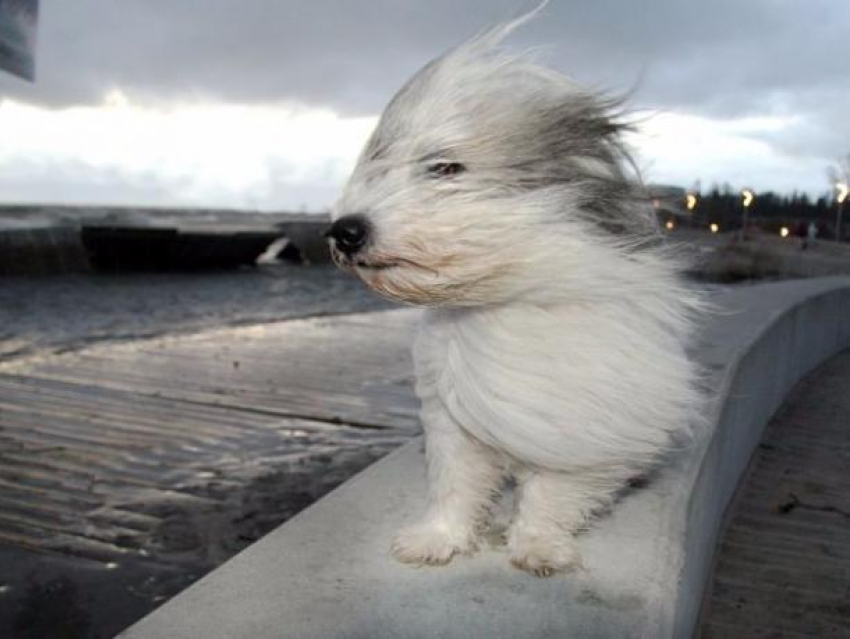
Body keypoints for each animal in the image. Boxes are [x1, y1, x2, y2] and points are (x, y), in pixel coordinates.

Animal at [324, 8, 696, 580]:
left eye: (445, 167)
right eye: (380, 163)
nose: (344, 231)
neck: (501, 297)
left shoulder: (580, 423)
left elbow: (554, 492)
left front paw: (539, 545)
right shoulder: (451, 418)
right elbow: (455, 485)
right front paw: (438, 539)